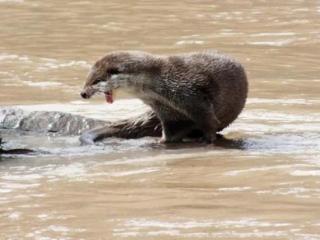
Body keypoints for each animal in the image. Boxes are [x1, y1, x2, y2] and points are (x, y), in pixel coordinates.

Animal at [79, 50, 248, 144]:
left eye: (96, 81)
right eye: (87, 79)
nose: (83, 93)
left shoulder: (193, 97)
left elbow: (209, 120)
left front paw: (208, 139)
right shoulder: (164, 110)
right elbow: (170, 130)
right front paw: (162, 141)